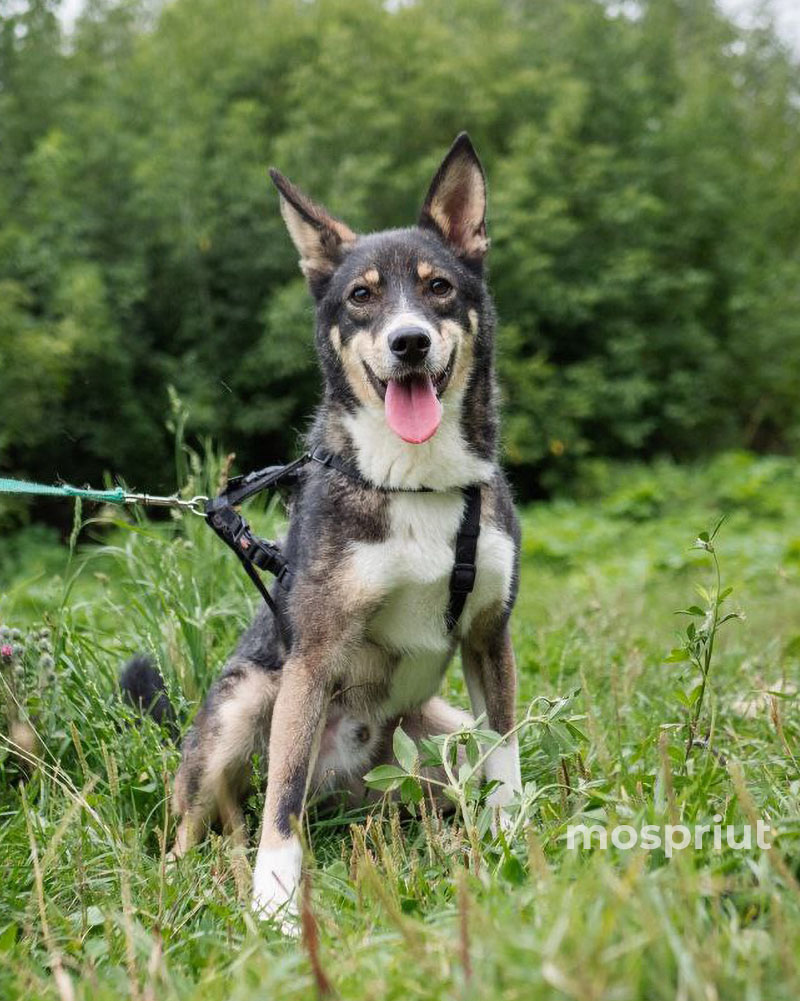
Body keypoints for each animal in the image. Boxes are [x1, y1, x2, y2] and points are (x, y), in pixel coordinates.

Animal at [129, 133, 520, 928]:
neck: (416, 483)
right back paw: (188, 875)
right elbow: (280, 799)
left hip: (438, 730)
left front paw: (512, 839)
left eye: (439, 288)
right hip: (245, 701)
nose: (409, 343)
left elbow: (507, 754)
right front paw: (275, 899)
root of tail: (347, 789)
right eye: (361, 296)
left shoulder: (488, 632)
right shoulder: (309, 658)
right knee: (209, 816)